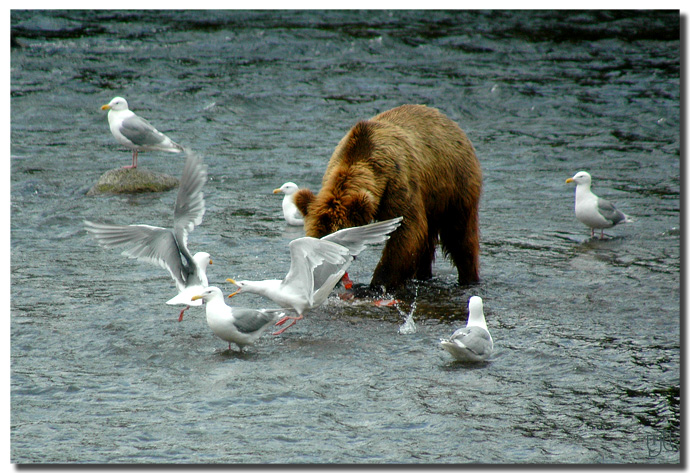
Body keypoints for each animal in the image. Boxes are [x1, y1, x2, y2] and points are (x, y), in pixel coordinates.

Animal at [292, 104, 482, 290]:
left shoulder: (398, 184)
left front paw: (378, 284)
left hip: (455, 187)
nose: (319, 274)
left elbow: (407, 230)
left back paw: (469, 278)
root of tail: (450, 122)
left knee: (460, 237)